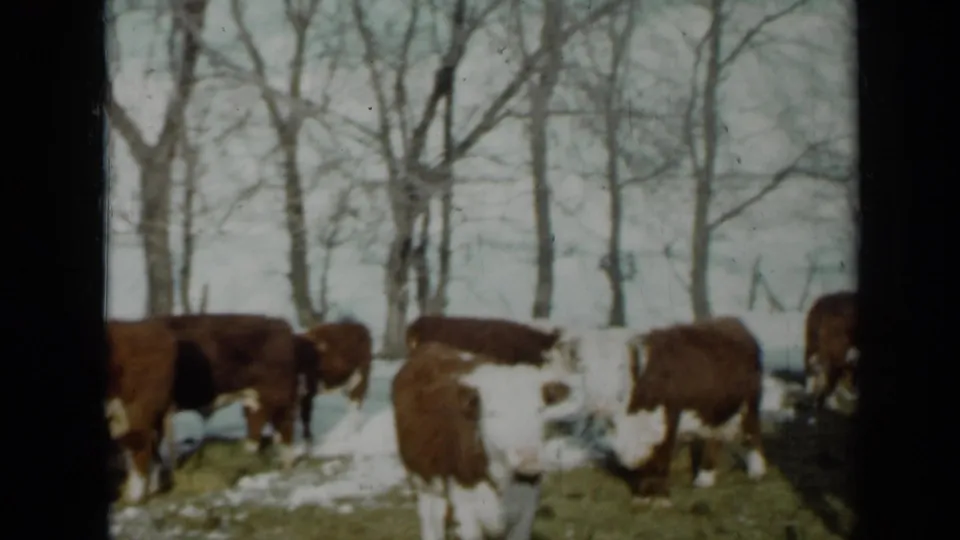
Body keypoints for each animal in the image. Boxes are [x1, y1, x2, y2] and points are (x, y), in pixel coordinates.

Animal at [154, 313, 301, 469]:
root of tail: (279, 322)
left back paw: (284, 463)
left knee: (283, 427)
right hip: (257, 399)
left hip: (275, 395)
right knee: (263, 427)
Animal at [392, 342, 583, 540]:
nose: (529, 461)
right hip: (424, 481)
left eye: (539, 410)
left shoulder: (527, 506)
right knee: (432, 517)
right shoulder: (466, 508)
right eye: (493, 413)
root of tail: (434, 346)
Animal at [606, 316, 767, 506]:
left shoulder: (670, 417)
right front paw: (643, 496)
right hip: (715, 409)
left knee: (753, 430)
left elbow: (663, 454)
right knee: (715, 437)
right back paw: (705, 478)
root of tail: (735, 322)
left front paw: (660, 498)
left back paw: (757, 471)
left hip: (751, 400)